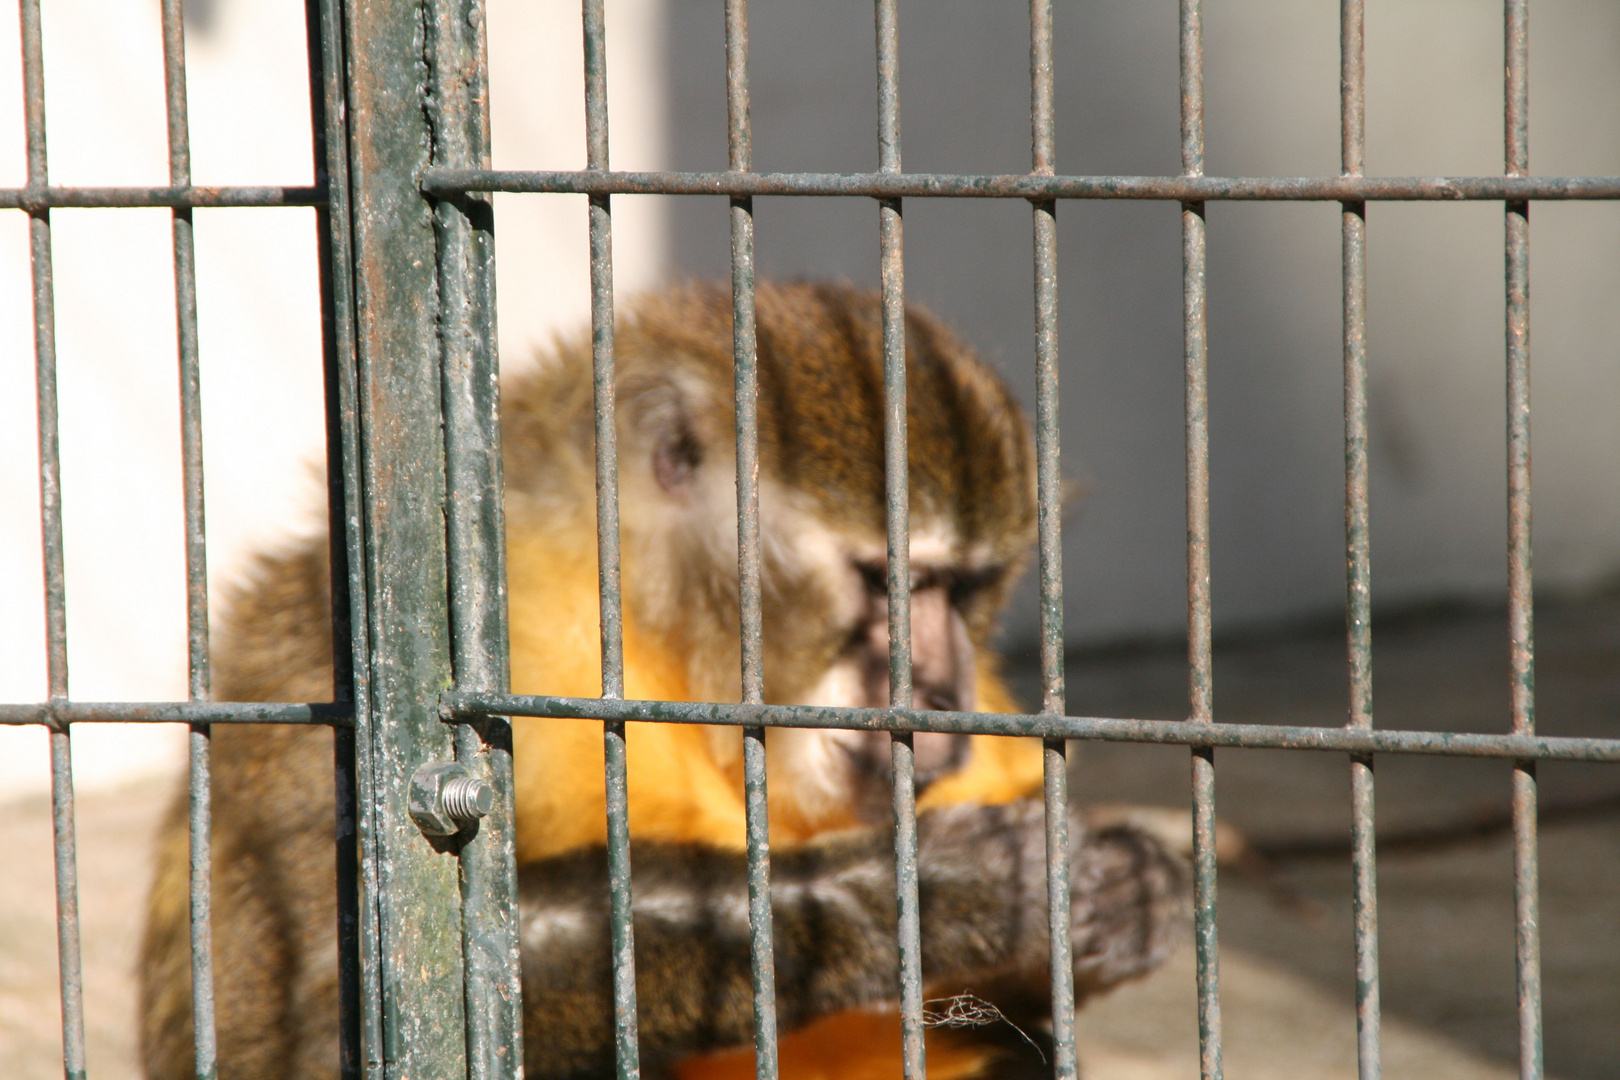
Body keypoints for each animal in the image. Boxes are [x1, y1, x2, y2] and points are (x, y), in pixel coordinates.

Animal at [142, 281, 1192, 1080]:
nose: (938, 684)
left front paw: (1115, 907)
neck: (654, 631)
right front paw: (921, 897)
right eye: (885, 582)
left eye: (965, 587)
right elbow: (328, 1024)